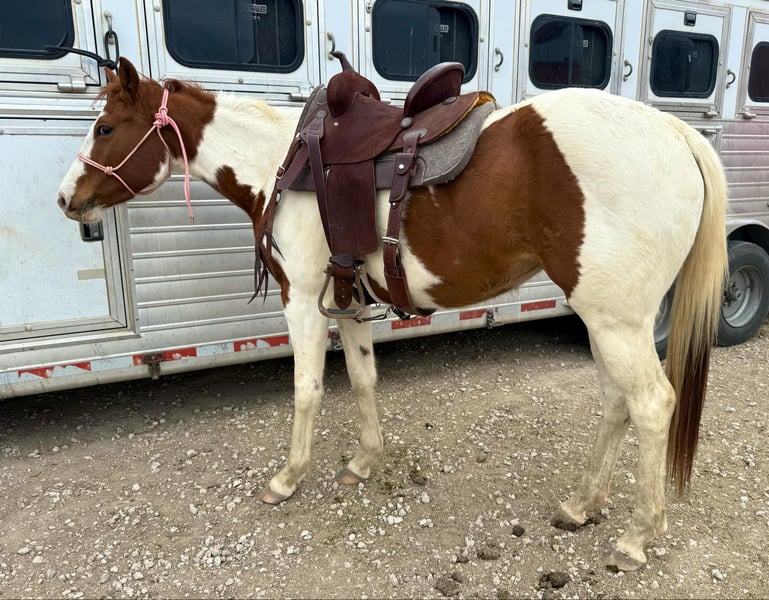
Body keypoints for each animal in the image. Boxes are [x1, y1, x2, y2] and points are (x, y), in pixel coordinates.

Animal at [56, 57, 727, 571]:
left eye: (106, 126)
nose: (66, 199)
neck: (279, 161)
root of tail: (675, 134)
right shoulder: (347, 299)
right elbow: (362, 380)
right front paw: (364, 462)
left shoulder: (301, 297)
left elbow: (306, 389)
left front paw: (288, 478)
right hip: (607, 320)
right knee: (617, 403)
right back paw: (582, 504)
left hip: (617, 322)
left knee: (651, 405)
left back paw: (636, 538)